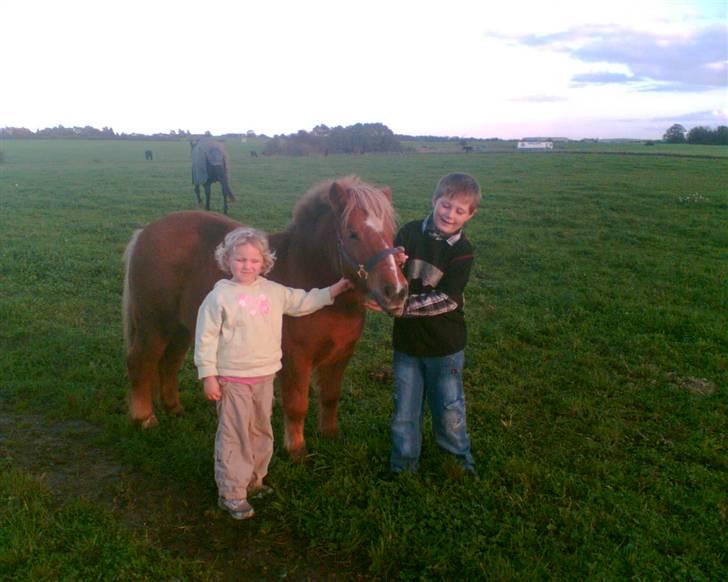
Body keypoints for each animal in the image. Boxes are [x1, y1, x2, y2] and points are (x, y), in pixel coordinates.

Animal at [122, 177, 406, 460]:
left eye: (391, 232)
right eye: (352, 233)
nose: (397, 291)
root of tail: (145, 233)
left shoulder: (340, 355)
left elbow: (330, 396)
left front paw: (330, 435)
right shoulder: (296, 358)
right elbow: (297, 405)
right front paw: (296, 450)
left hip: (181, 328)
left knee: (168, 363)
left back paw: (174, 409)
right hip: (154, 326)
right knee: (140, 362)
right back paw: (145, 419)